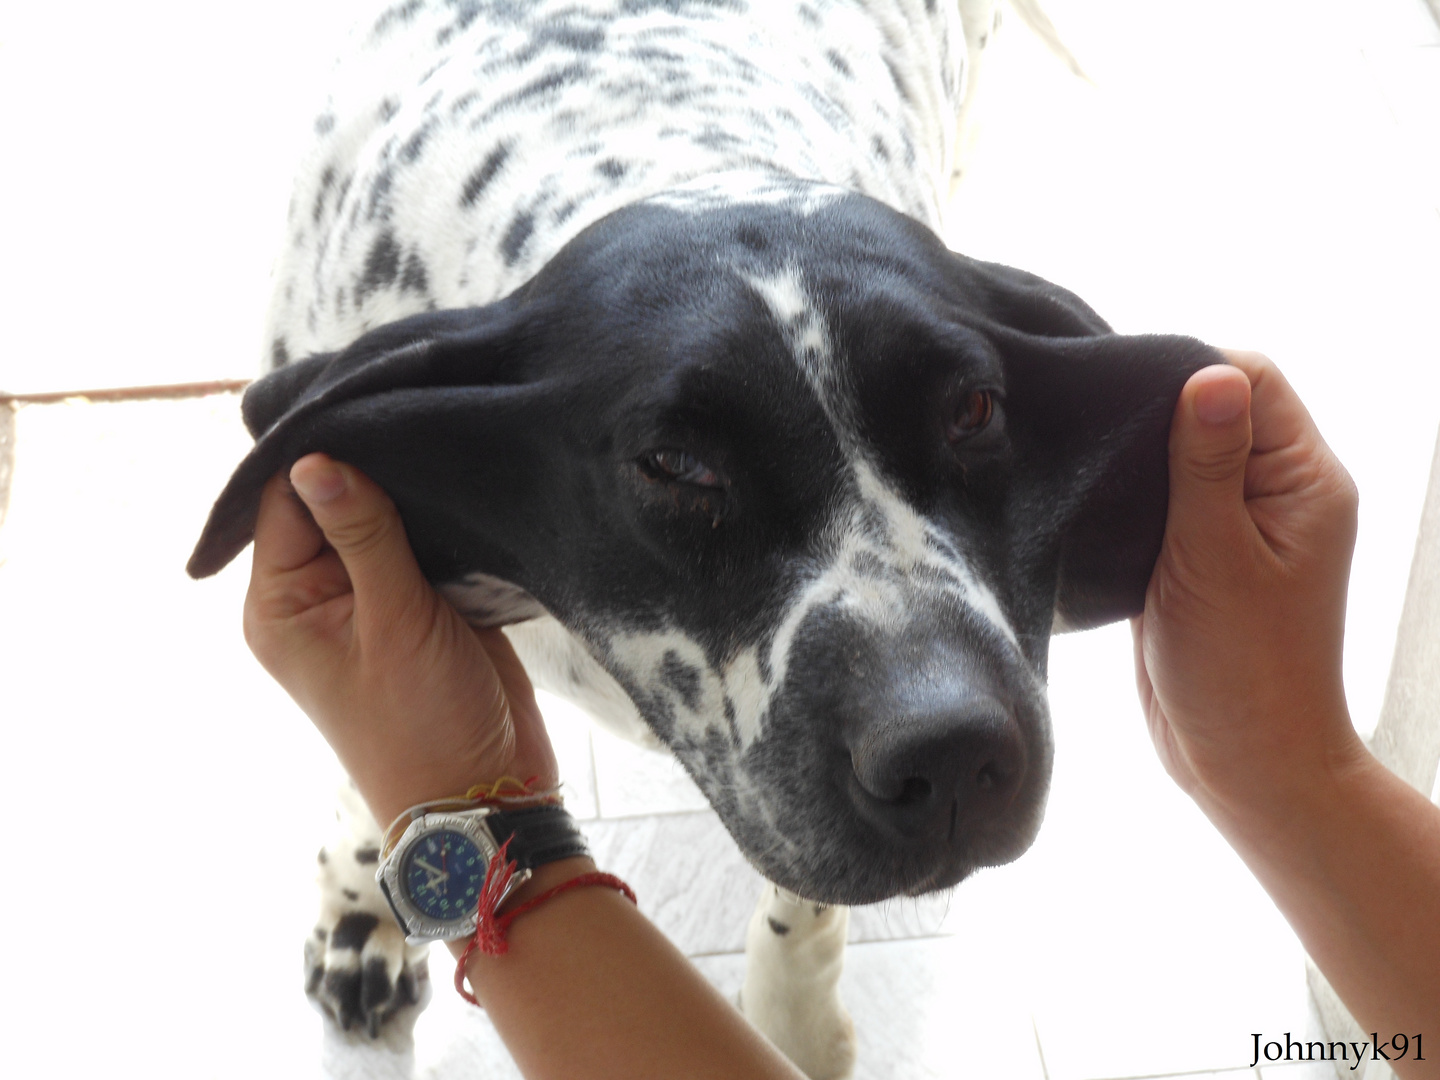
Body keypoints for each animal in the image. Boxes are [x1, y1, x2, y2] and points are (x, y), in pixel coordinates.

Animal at [185, 4, 1221, 1077]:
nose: (953, 751)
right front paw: (363, 911)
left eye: (974, 408)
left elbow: (803, 906)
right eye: (675, 463)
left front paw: (792, 1018)